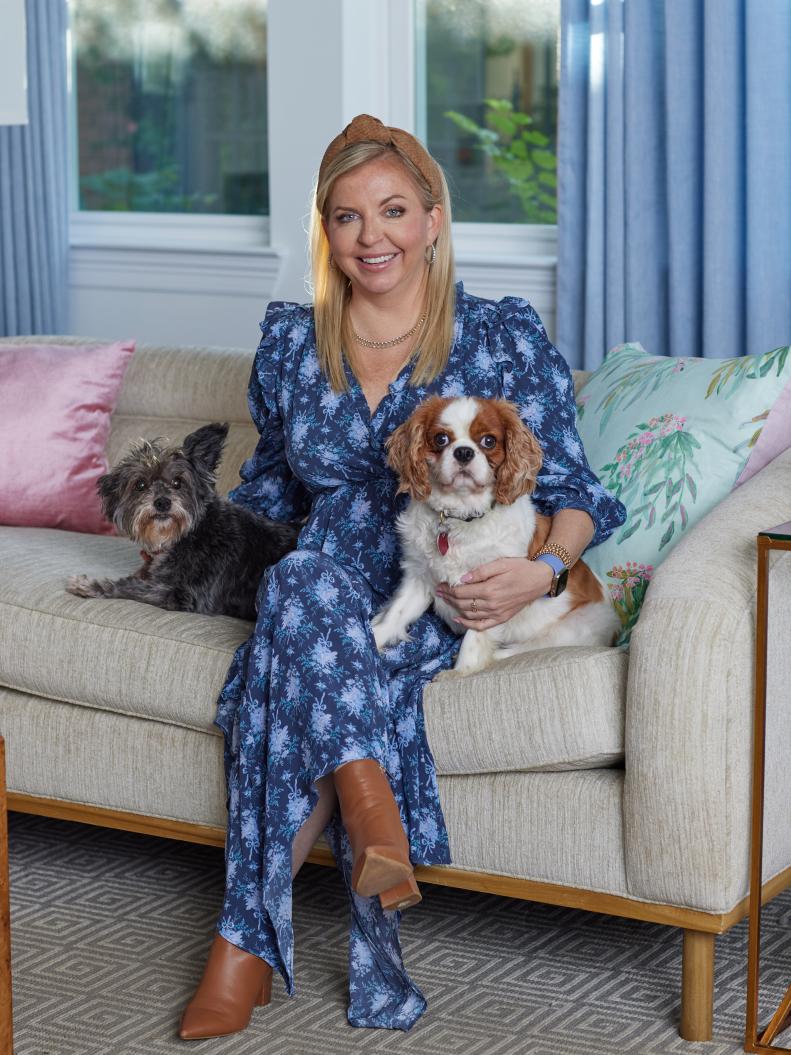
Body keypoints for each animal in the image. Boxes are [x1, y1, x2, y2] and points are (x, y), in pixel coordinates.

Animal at [67, 419, 299, 616]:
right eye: (140, 484)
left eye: (178, 482)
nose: (162, 502)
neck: (186, 536)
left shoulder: (185, 596)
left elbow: (133, 587)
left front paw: (91, 584)